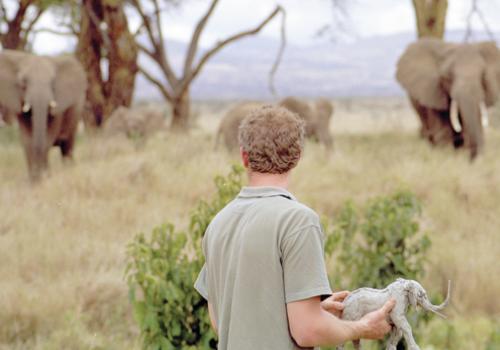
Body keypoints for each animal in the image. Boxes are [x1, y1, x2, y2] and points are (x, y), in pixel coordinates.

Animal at [0, 50, 87, 180]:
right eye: (24, 82)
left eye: (52, 83)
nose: (39, 174)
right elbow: (27, 140)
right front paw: (34, 180)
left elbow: (48, 136)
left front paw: (44, 178)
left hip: (76, 113)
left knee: (67, 146)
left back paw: (69, 169)